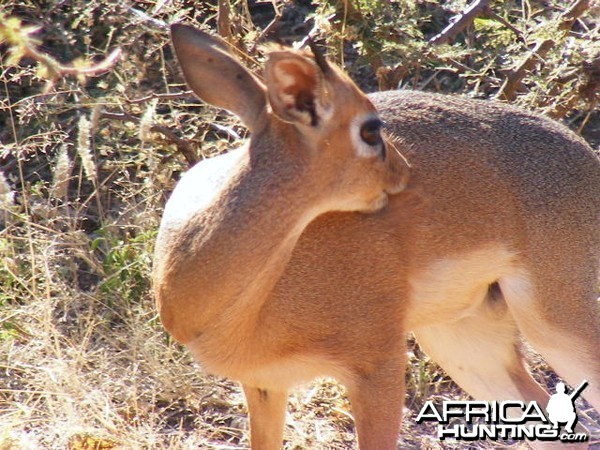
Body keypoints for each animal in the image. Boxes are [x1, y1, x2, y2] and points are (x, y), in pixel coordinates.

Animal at [155, 24, 600, 450]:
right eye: (370, 130)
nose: (404, 172)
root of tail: (585, 155)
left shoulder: (377, 364)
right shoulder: (264, 384)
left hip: (556, 325)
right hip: (463, 343)